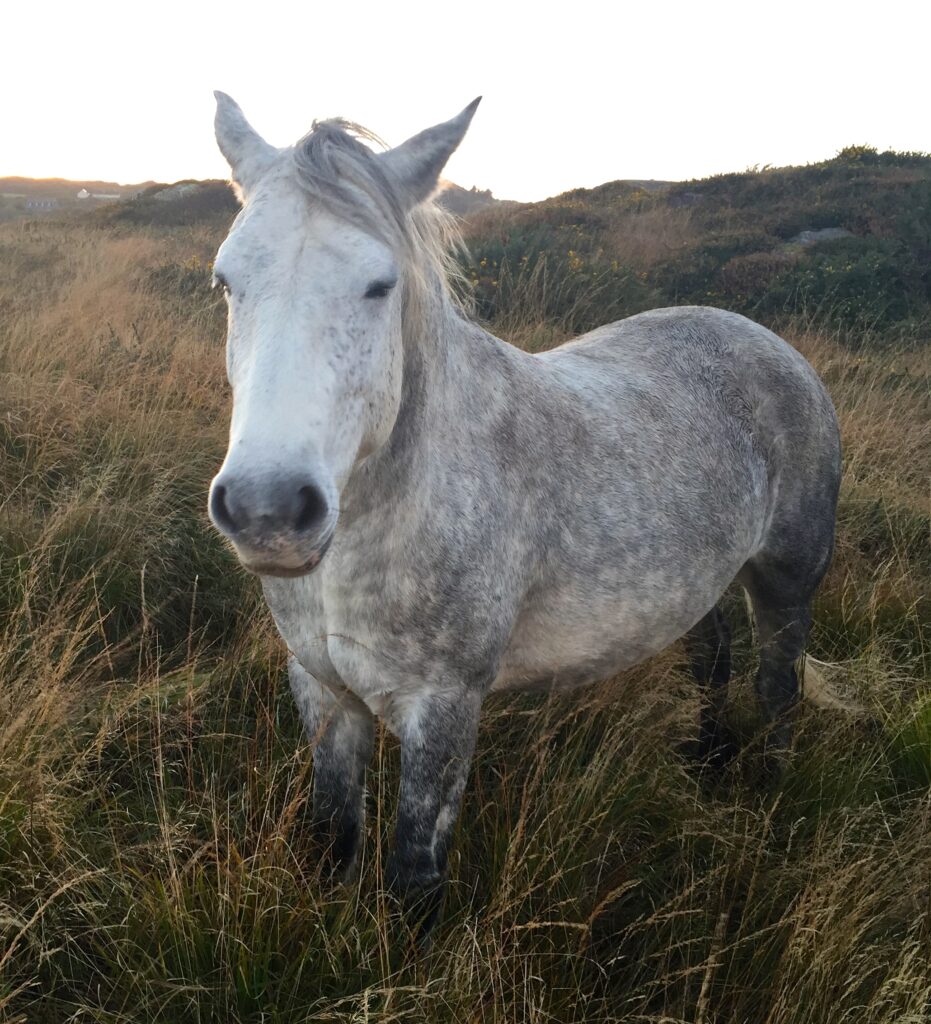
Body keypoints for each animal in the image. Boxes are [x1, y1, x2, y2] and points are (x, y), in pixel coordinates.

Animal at [208, 94, 843, 929]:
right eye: (226, 281)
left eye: (380, 285)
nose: (269, 508)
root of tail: (765, 340)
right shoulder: (323, 689)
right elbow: (332, 836)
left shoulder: (442, 708)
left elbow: (413, 874)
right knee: (711, 660)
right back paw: (707, 760)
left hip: (785, 579)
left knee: (776, 690)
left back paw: (764, 797)